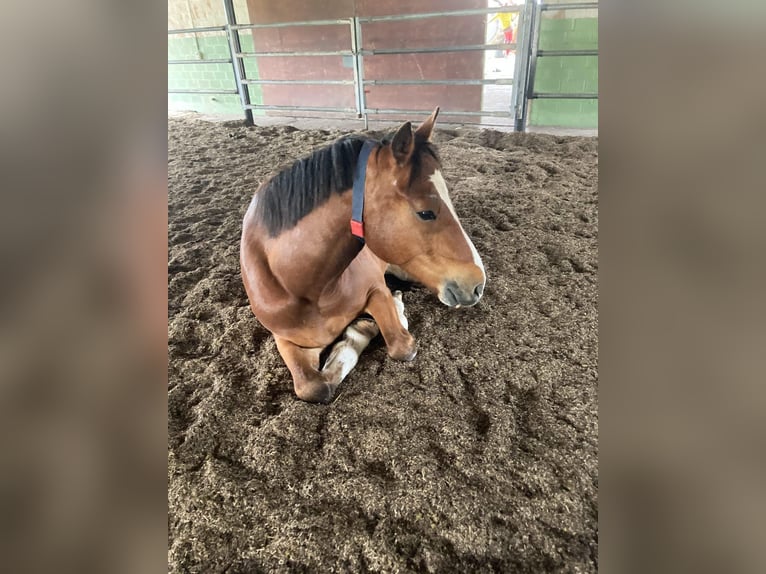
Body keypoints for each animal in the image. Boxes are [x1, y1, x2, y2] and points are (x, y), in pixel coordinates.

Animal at [242, 108, 486, 404]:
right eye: (426, 212)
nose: (478, 283)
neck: (302, 286)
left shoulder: (376, 289)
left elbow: (401, 345)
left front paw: (369, 325)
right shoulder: (286, 338)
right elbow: (314, 387)